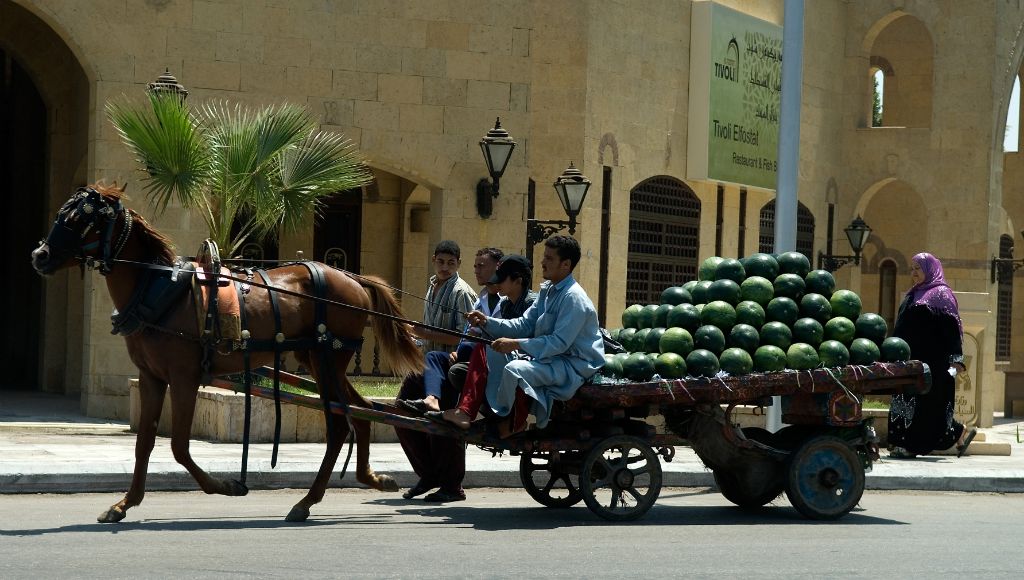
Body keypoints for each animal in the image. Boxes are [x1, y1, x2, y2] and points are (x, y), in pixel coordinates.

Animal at [30, 184, 423, 524]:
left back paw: (308, 500)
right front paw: (125, 504)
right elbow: (144, 444)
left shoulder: (184, 377)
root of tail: (354, 279)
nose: (39, 256)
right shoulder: (152, 377)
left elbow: (179, 447)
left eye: (79, 218)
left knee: (341, 424)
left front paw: (226, 486)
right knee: (363, 411)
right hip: (321, 362)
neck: (157, 289)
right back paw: (370, 478)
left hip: (328, 361)